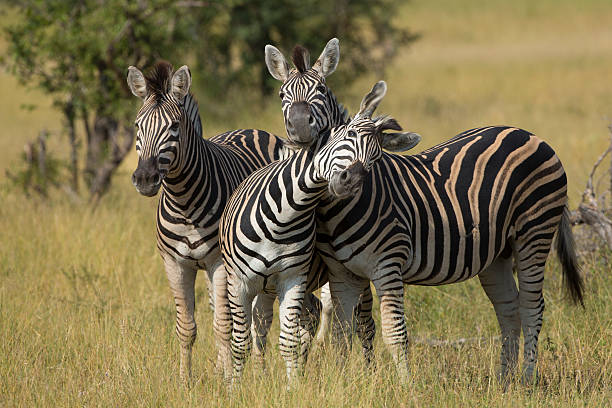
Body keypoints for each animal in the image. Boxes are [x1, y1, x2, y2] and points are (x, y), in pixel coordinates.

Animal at [219, 81, 420, 384]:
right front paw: (235, 388)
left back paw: (368, 374)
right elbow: (240, 342)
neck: (285, 214)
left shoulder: (292, 277)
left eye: (376, 159)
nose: (351, 182)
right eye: (348, 135)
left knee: (364, 325)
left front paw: (292, 388)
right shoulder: (239, 283)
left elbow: (288, 341)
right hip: (263, 287)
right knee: (261, 326)